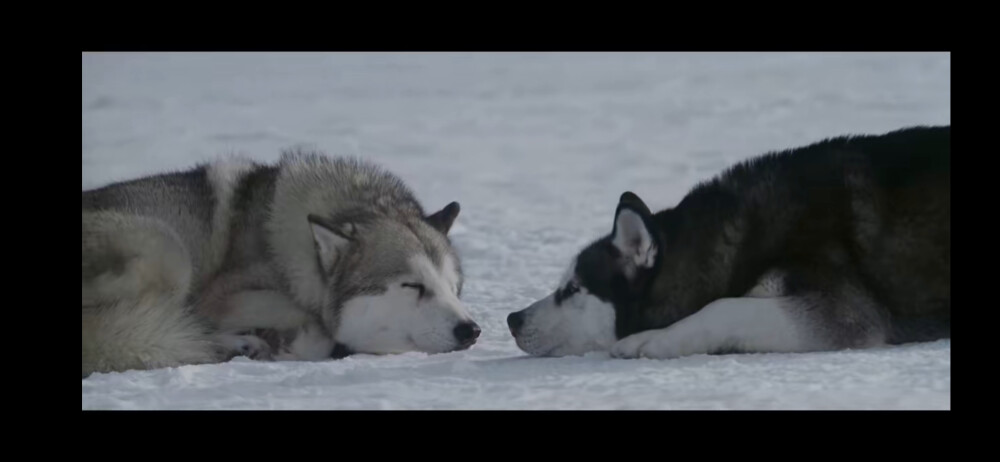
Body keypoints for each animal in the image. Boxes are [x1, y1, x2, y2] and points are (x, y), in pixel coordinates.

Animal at [82, 150, 480, 378]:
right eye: (413, 285)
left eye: (453, 288)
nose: (471, 330)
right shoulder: (222, 298)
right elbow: (314, 325)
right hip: (169, 251)